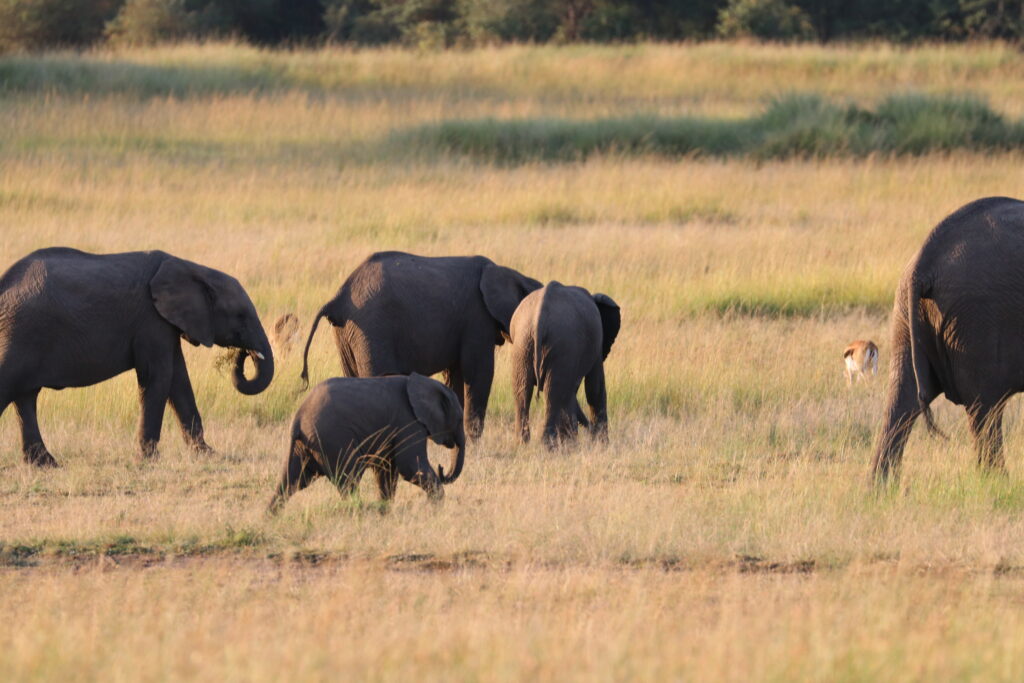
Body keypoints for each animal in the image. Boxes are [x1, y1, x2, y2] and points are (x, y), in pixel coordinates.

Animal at [0, 245, 276, 464]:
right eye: (240, 316)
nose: (245, 354)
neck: (192, 268)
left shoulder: (166, 324)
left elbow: (179, 381)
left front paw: (208, 454)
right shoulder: (151, 321)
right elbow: (159, 377)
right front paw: (147, 460)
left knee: (25, 398)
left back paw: (46, 464)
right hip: (21, 333)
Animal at [270, 370, 466, 509]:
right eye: (459, 419)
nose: (442, 469)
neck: (425, 382)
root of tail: (298, 417)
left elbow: (388, 468)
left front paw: (385, 508)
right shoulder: (408, 422)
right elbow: (409, 466)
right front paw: (435, 507)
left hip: (305, 444)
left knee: (292, 481)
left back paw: (271, 516)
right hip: (332, 439)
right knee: (349, 478)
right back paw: (360, 511)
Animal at [301, 250, 544, 438]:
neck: (510, 273)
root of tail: (339, 297)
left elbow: (455, 376)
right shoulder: (477, 318)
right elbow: (479, 372)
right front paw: (474, 442)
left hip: (347, 333)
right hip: (371, 327)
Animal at [507, 280, 618, 446]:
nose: (590, 430)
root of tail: (539, 317)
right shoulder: (595, 345)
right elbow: (595, 387)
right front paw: (601, 444)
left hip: (522, 343)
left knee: (522, 391)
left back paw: (522, 444)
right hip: (561, 344)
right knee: (553, 394)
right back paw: (547, 446)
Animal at [868, 196, 1024, 485]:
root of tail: (925, 262)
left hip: (906, 317)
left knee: (900, 402)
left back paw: (879, 488)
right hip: (977, 320)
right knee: (985, 409)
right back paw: (998, 484)